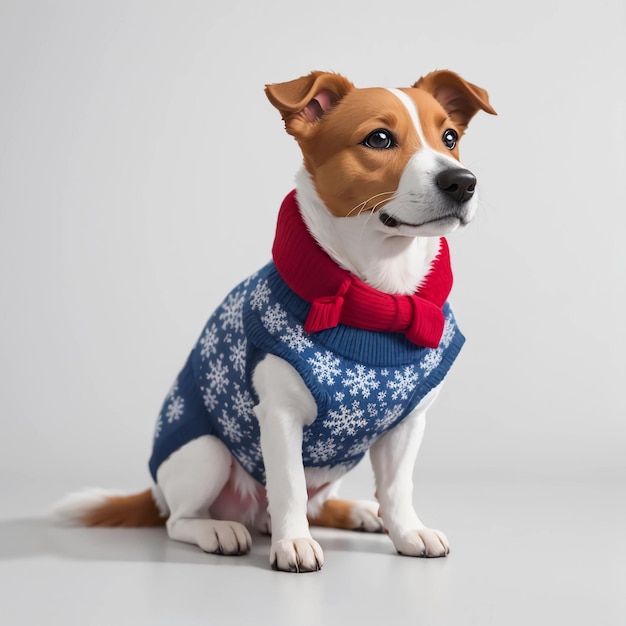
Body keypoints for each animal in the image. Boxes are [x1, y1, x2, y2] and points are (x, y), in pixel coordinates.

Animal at [52, 69, 492, 572]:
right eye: (379, 138)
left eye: (450, 138)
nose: (463, 182)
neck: (378, 298)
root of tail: (156, 493)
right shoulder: (280, 418)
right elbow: (289, 487)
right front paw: (294, 543)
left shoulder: (407, 425)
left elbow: (397, 487)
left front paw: (407, 531)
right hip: (204, 453)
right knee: (180, 520)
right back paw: (219, 529)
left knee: (322, 503)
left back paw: (360, 512)